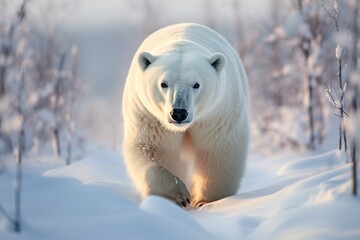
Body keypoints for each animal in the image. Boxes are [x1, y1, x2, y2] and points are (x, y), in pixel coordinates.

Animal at [122, 23, 249, 206]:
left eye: (196, 84)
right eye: (164, 84)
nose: (179, 113)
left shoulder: (216, 115)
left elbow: (218, 150)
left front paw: (204, 200)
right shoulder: (149, 117)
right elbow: (151, 148)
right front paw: (178, 194)